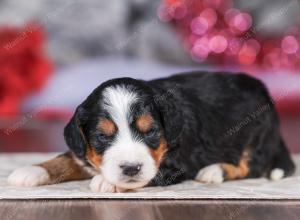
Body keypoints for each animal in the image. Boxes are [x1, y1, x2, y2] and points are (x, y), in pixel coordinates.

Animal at [7, 71, 296, 192]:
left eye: (151, 132)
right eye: (102, 136)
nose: (130, 168)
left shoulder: (179, 162)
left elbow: (153, 172)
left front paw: (108, 182)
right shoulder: (83, 148)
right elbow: (68, 157)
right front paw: (31, 170)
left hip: (255, 135)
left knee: (253, 165)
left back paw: (214, 171)